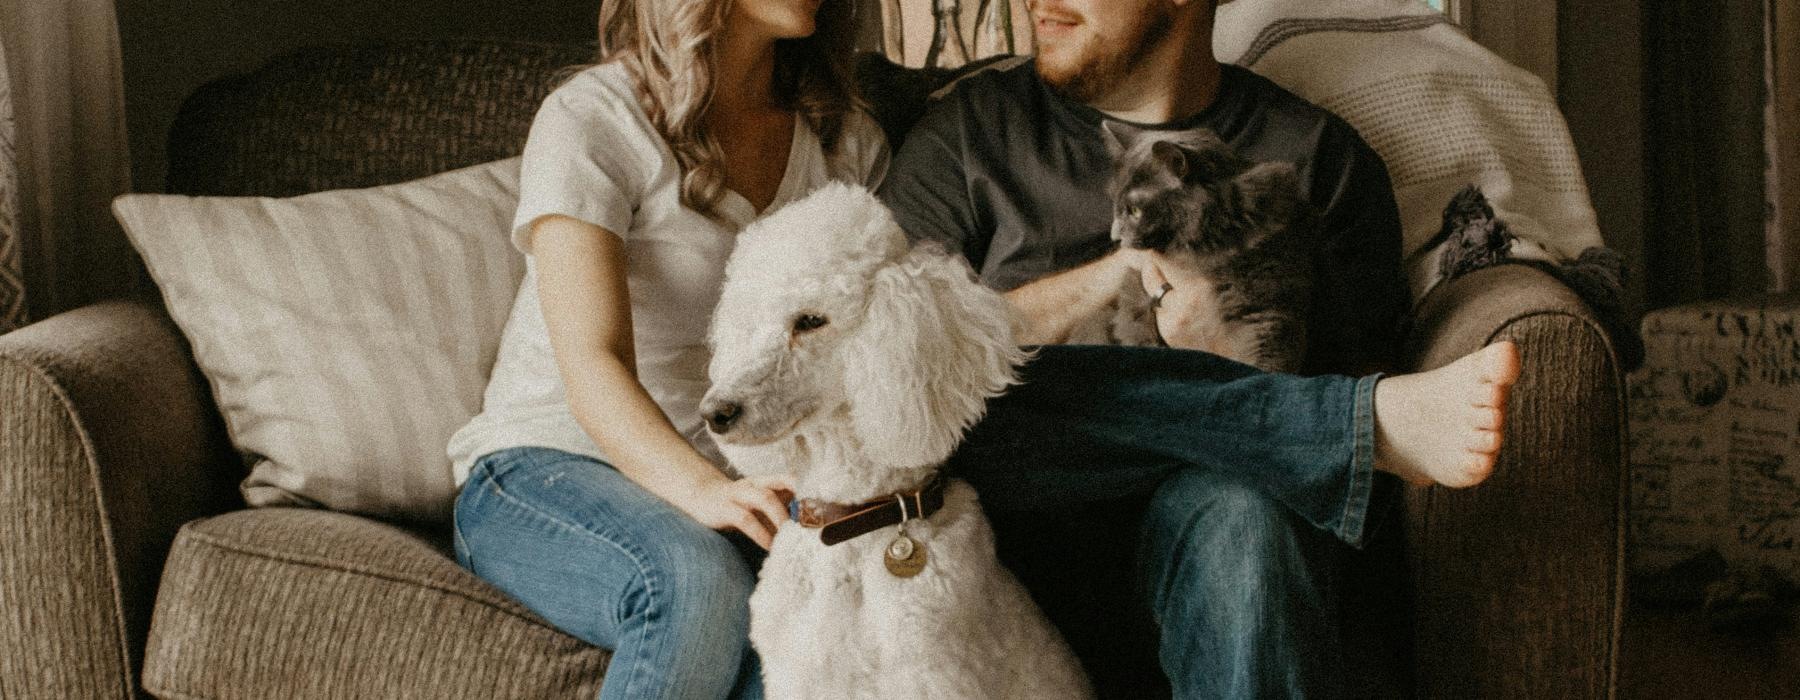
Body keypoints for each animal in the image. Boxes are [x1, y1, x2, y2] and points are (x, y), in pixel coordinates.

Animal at [702, 181, 1094, 698]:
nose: (715, 413)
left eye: (811, 321)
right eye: (748, 324)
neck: (849, 527)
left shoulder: (927, 679)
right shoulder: (794, 677)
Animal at [1072, 122, 1317, 374]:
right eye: (1115, 205)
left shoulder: (1267, 310)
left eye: (1135, 211)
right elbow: (1138, 331)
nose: (1115, 236)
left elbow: (1266, 364)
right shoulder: (1135, 296)